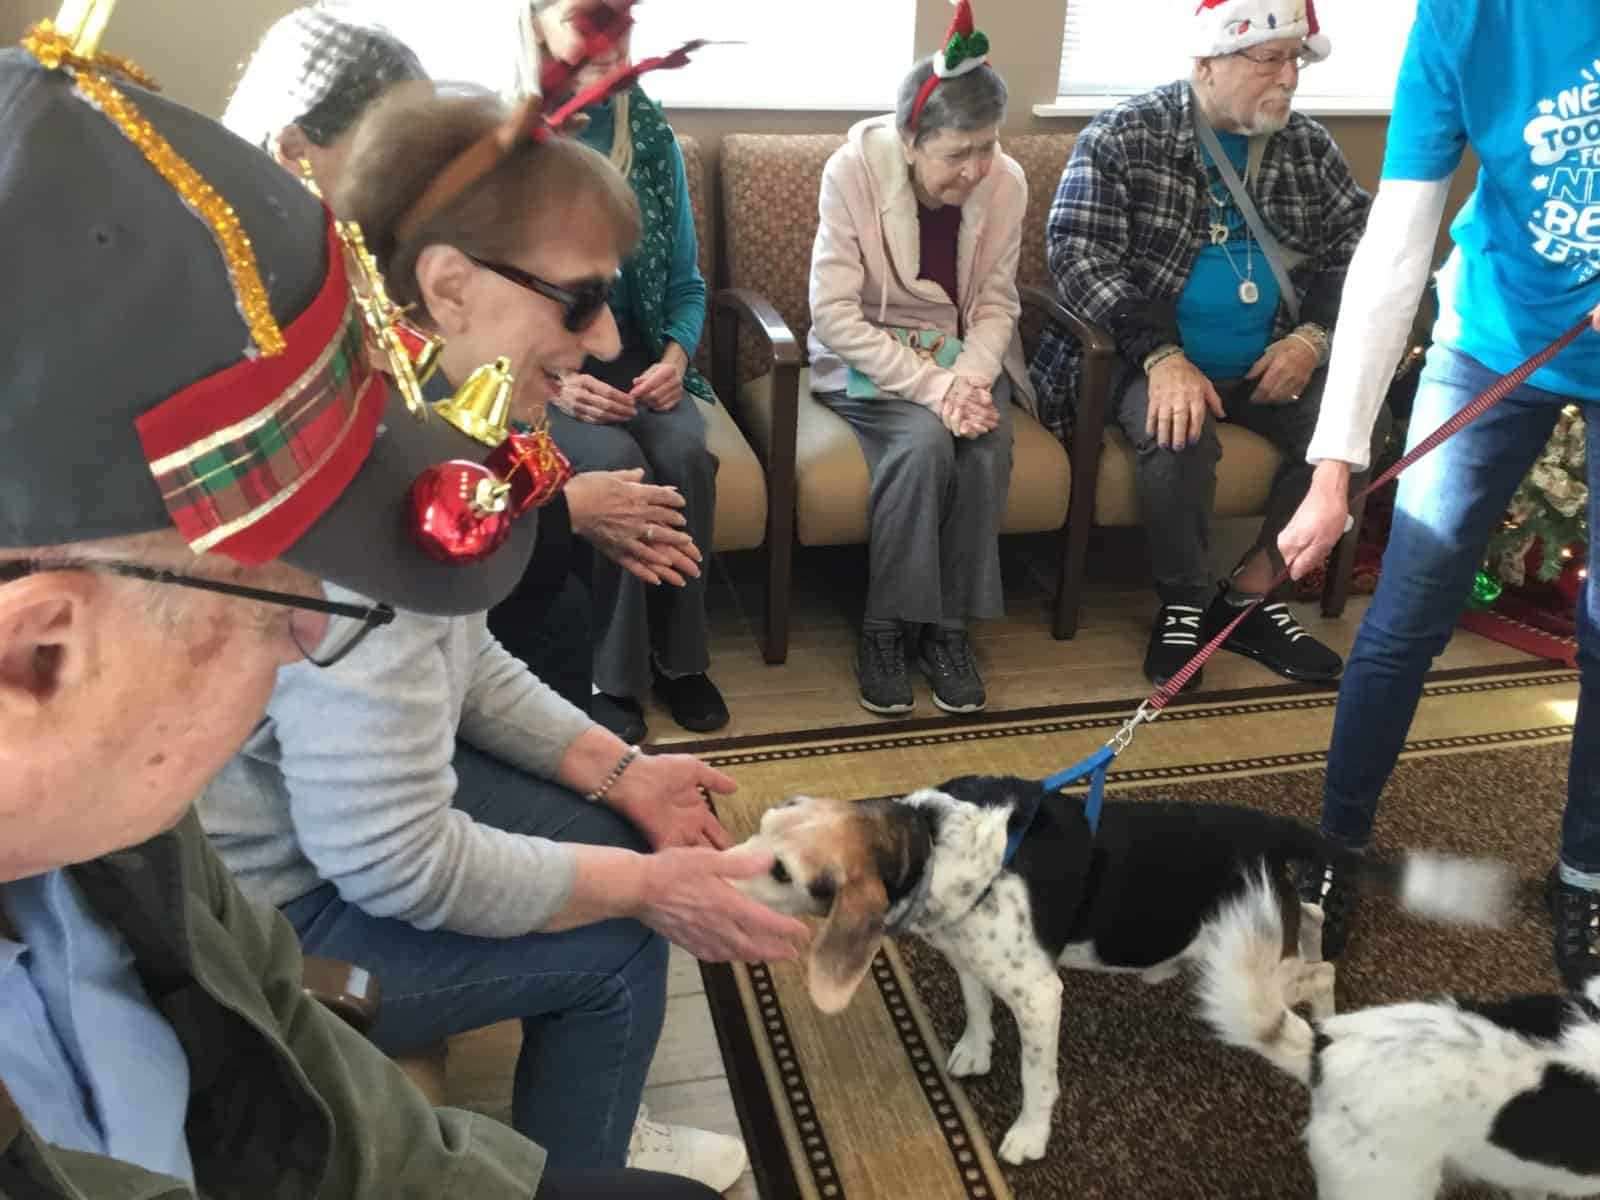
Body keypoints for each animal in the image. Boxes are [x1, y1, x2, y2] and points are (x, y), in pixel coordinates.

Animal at [732, 780, 1504, 1164]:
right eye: (761, 826)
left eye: (783, 872)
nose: (716, 864)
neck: (928, 839)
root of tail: (1268, 828)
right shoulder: (967, 952)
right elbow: (978, 1008)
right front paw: (974, 1051)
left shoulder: (1039, 996)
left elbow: (1037, 1080)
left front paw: (1029, 1136)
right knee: (1313, 924)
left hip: (1240, 970)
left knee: (1318, 978)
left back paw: (1327, 1020)